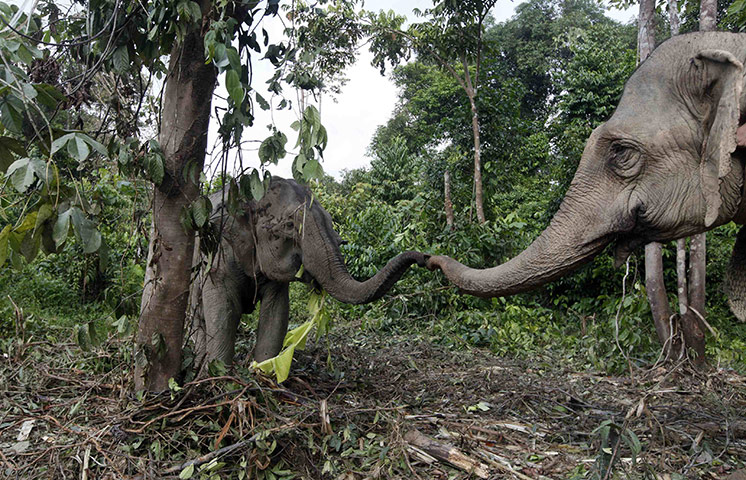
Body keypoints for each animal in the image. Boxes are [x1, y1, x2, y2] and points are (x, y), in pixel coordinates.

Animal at [189, 176, 426, 367]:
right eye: (289, 225)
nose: (425, 258)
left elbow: (276, 312)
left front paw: (263, 375)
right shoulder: (217, 253)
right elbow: (224, 311)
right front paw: (222, 380)